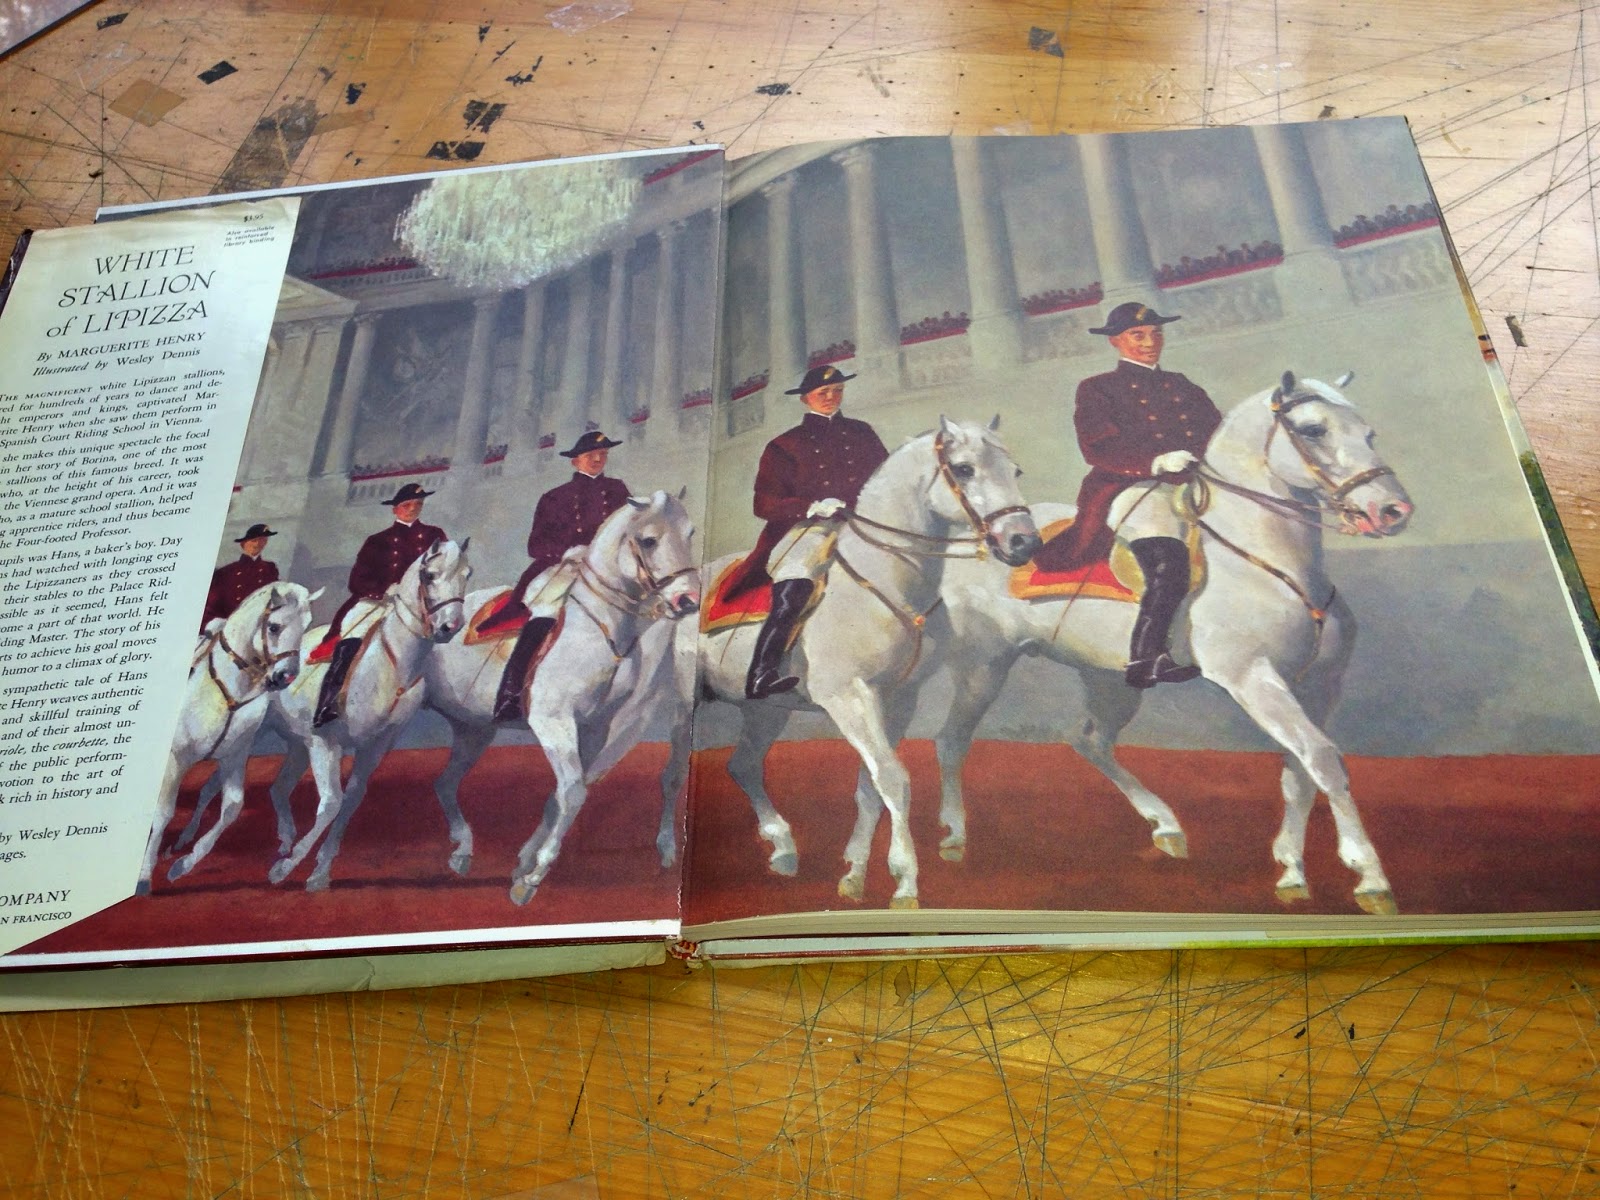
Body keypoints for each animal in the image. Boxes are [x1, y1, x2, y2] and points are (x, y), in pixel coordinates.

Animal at [142, 582, 320, 894]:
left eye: (306, 625)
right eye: (273, 627)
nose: (285, 677)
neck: (229, 694)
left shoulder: (235, 757)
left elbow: (232, 808)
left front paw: (182, 865)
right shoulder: (176, 760)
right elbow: (165, 812)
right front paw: (144, 875)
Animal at [232, 538, 473, 892]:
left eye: (467, 574)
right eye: (429, 575)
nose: (449, 626)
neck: (391, 667)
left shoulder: (376, 745)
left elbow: (352, 798)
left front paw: (320, 869)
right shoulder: (325, 742)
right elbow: (332, 802)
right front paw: (286, 869)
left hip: (297, 743)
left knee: (278, 788)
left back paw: (284, 840)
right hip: (259, 732)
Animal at [420, 489, 701, 905]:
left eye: (690, 533)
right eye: (649, 540)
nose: (688, 601)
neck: (600, 624)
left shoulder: (595, 727)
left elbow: (565, 792)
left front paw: (525, 863)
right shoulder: (553, 722)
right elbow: (573, 791)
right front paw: (533, 875)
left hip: (473, 729)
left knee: (444, 783)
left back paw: (462, 851)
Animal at [690, 416, 1041, 909]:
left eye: (1016, 470)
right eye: (965, 469)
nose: (1024, 542)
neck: (884, 579)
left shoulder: (896, 699)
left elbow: (871, 785)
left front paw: (855, 871)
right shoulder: (848, 696)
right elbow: (893, 778)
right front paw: (906, 880)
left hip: (764, 709)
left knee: (742, 766)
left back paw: (782, 847)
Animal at [934, 371, 1413, 913]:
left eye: (1369, 433)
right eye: (1314, 430)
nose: (1392, 510)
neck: (1274, 564)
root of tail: (973, 536)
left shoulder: (1318, 684)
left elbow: (1299, 773)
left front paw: (1291, 869)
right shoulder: (1253, 679)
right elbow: (1325, 761)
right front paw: (1368, 874)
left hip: (1111, 679)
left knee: (1089, 740)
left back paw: (1165, 825)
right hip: (982, 665)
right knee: (952, 741)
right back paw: (954, 838)